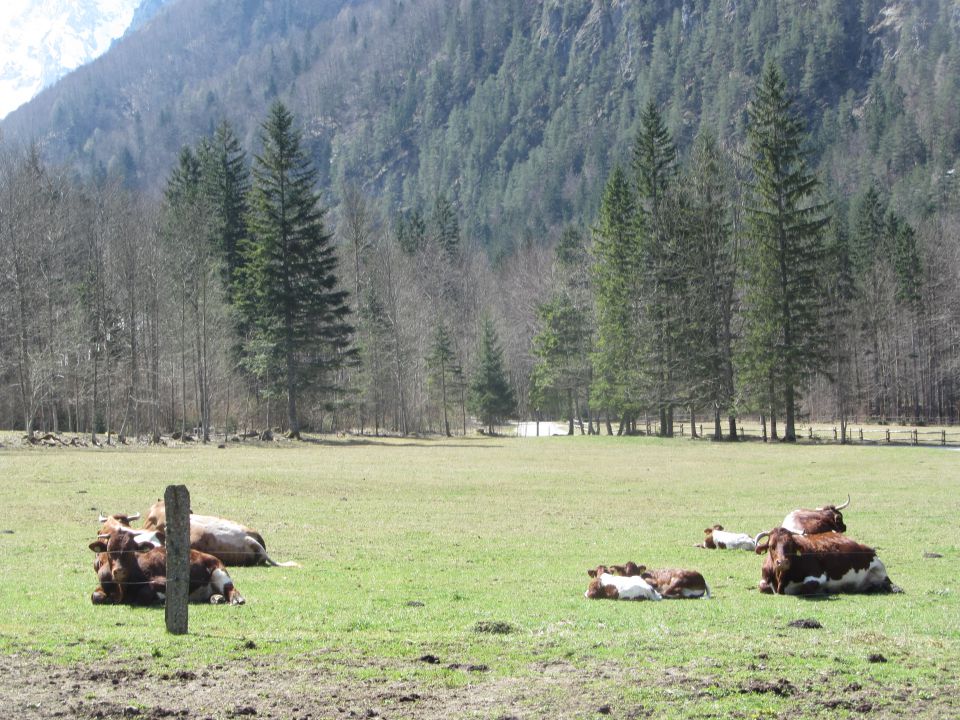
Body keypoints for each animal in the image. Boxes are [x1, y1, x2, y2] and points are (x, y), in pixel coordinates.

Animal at [89, 532, 246, 604]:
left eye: (131, 550)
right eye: (109, 550)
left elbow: (145, 592)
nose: (119, 571)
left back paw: (235, 598)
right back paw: (216, 598)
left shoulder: (166, 581)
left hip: (219, 573)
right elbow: (95, 596)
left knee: (230, 589)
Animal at [752, 524, 896, 592]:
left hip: (879, 568)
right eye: (771, 546)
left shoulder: (818, 576)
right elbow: (762, 586)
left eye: (791, 545)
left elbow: (807, 587)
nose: (782, 562)